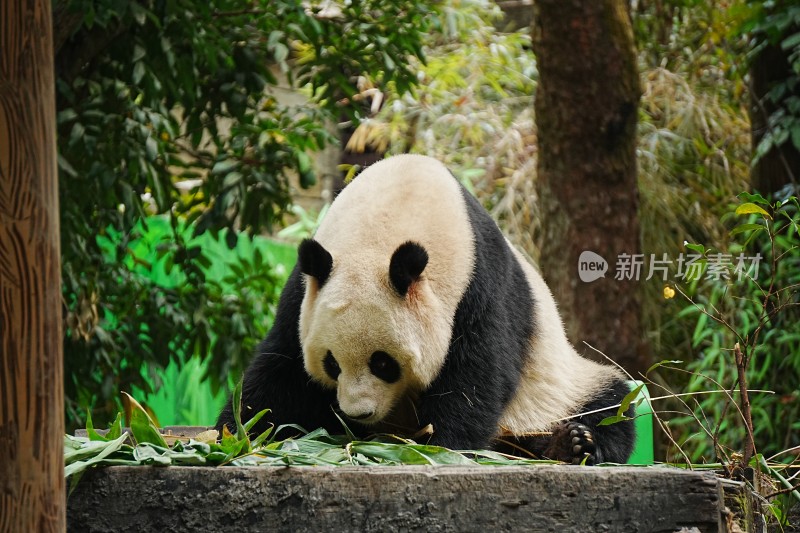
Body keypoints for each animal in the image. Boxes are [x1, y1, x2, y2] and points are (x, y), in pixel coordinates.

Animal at [216, 153, 636, 462]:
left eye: (383, 363)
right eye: (331, 363)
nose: (358, 414)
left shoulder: (479, 283)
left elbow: (477, 373)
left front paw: (441, 447)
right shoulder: (307, 290)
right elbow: (281, 367)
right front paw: (236, 434)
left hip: (557, 387)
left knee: (609, 405)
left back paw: (573, 444)